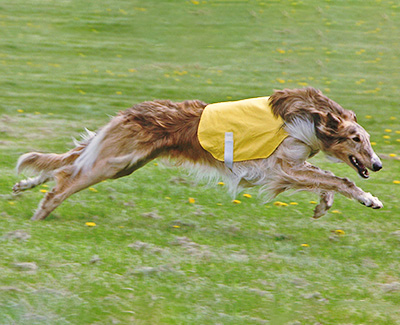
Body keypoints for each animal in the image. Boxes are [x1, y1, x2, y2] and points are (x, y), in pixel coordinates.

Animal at [12, 87, 382, 219]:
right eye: (355, 139)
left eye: (366, 139)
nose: (377, 165)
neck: (310, 118)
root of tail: (130, 112)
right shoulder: (280, 168)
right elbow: (339, 179)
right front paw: (369, 198)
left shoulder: (290, 166)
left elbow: (327, 181)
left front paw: (323, 205)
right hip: (112, 162)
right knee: (65, 178)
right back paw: (42, 211)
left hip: (124, 161)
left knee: (65, 165)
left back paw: (26, 185)